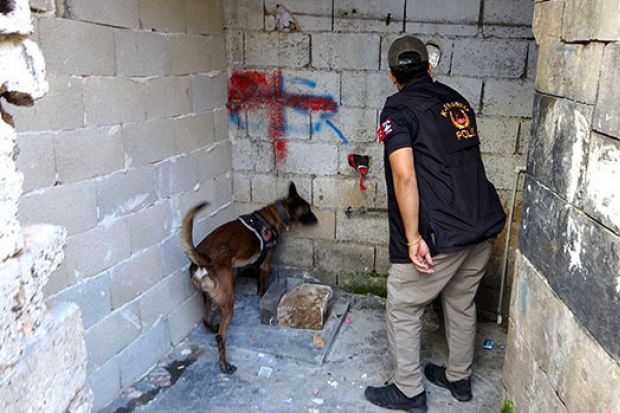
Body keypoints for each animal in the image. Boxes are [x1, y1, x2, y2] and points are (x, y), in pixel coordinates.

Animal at [180, 182, 318, 374]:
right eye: (308, 210)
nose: (317, 219)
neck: (272, 214)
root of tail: (202, 259)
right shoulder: (265, 263)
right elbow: (263, 280)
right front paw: (263, 294)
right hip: (228, 302)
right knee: (220, 337)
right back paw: (225, 364)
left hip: (207, 296)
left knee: (206, 319)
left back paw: (212, 327)